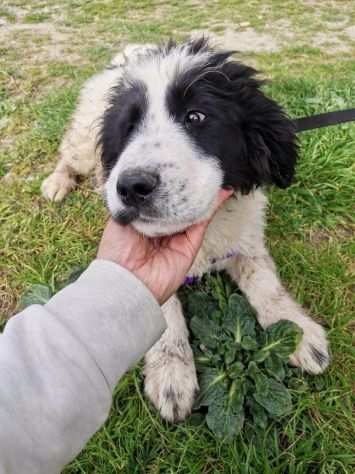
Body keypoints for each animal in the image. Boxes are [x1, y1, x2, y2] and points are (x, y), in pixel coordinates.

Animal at [42, 38, 330, 422]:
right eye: (127, 127)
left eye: (196, 117)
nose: (130, 187)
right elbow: (164, 314)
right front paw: (172, 376)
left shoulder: (246, 239)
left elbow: (267, 286)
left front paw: (298, 331)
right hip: (84, 137)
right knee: (69, 154)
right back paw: (57, 183)